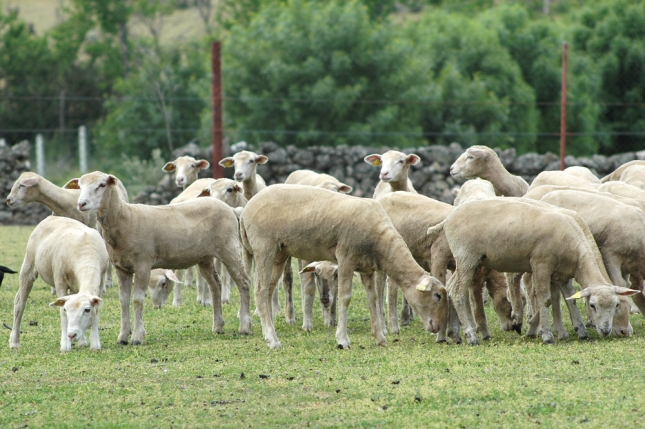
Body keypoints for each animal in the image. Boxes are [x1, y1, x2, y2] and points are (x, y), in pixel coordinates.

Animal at [9, 216, 108, 350]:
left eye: (87, 310)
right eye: (66, 309)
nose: (72, 335)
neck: (86, 251)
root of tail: (52, 217)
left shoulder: (101, 282)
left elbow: (96, 312)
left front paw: (95, 343)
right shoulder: (60, 281)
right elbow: (62, 314)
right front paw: (65, 345)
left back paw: (82, 341)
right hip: (28, 265)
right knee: (20, 303)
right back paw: (14, 342)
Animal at [65, 171, 252, 344]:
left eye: (102, 185)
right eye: (80, 186)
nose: (81, 204)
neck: (124, 218)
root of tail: (231, 209)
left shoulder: (143, 264)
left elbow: (138, 300)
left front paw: (137, 337)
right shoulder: (121, 268)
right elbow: (123, 301)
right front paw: (123, 336)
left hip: (229, 248)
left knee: (243, 282)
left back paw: (244, 326)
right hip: (204, 257)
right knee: (215, 285)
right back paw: (218, 326)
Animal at [239, 183, 446, 348]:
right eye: (437, 296)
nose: (437, 327)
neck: (381, 242)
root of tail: (247, 207)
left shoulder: (367, 268)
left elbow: (373, 298)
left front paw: (380, 338)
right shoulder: (346, 257)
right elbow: (345, 298)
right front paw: (342, 339)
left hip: (280, 253)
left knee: (268, 291)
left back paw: (268, 335)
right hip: (264, 247)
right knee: (260, 291)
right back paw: (273, 341)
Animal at [430, 198, 636, 344]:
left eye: (616, 305)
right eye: (593, 305)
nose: (605, 331)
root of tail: (448, 218)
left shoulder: (563, 274)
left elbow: (570, 300)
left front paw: (581, 331)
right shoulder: (541, 264)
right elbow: (545, 300)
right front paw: (547, 336)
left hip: (466, 260)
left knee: (450, 288)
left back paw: (456, 333)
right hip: (467, 257)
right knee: (459, 292)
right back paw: (471, 336)